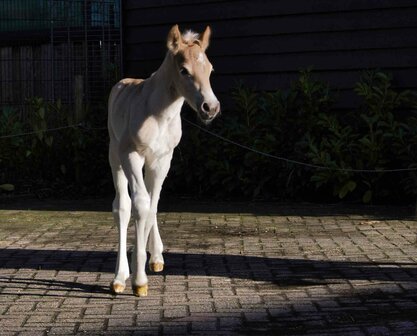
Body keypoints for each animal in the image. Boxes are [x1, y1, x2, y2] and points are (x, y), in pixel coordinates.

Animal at [107, 24, 219, 296]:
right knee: (122, 205)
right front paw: (136, 280)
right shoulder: (131, 155)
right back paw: (120, 276)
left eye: (210, 69)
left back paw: (155, 257)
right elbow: (138, 205)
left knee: (151, 200)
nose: (210, 108)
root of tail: (123, 82)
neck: (159, 114)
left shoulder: (163, 159)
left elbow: (152, 205)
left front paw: (147, 263)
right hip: (115, 155)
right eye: (184, 70)